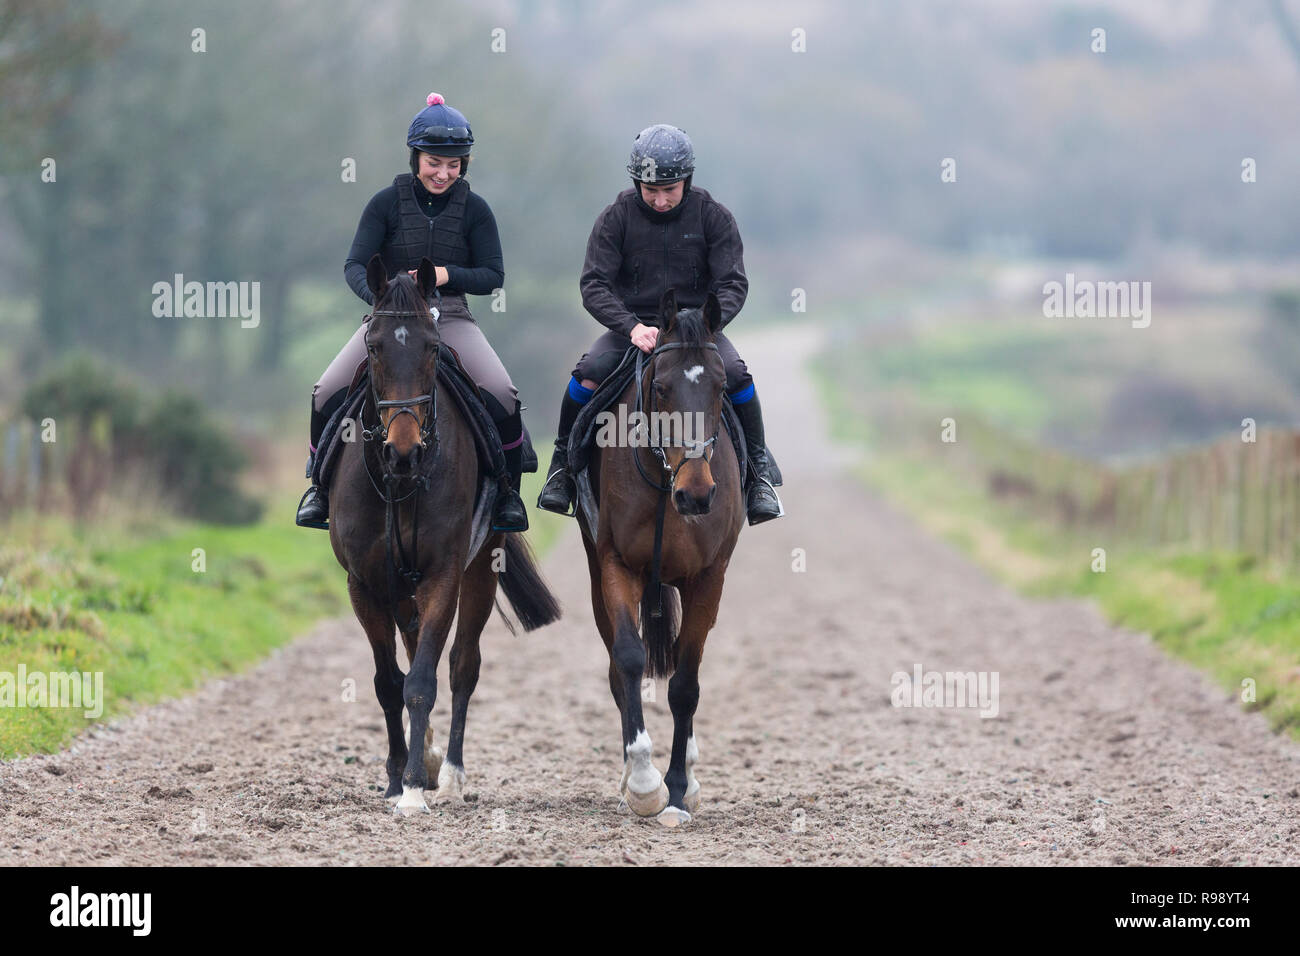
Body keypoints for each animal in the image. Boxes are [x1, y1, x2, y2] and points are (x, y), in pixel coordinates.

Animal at [330, 252, 559, 816]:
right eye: (373, 346)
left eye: (432, 347)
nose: (403, 452)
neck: (400, 484)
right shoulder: (364, 584)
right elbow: (389, 683)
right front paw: (398, 778)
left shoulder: (443, 577)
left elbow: (422, 682)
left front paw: (414, 787)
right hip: (400, 588)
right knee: (415, 652)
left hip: (481, 568)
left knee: (461, 665)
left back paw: (450, 773)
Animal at [577, 290, 743, 832]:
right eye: (664, 388)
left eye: (720, 388)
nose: (697, 494)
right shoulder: (616, 565)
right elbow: (628, 660)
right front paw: (646, 783)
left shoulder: (708, 578)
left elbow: (686, 684)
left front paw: (677, 790)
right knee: (616, 666)